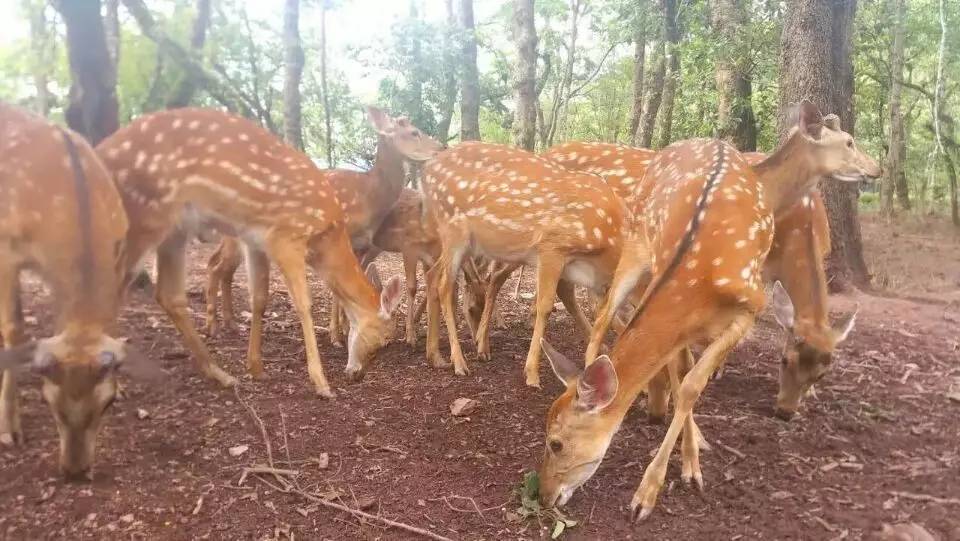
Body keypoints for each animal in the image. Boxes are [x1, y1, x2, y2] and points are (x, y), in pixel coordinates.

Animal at [0, 103, 160, 478]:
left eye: (107, 403)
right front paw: (9, 429)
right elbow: (14, 330)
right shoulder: (6, 248)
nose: (74, 471)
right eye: (48, 400)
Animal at [95, 108, 430, 396]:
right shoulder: (287, 239)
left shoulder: (261, 242)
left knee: (177, 288)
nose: (358, 375)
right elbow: (306, 303)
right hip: (145, 218)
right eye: (384, 340)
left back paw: (219, 359)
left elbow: (260, 298)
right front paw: (321, 379)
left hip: (182, 230)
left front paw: (255, 367)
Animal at [536, 101, 880, 520]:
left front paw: (661, 484)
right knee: (597, 313)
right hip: (634, 243)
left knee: (601, 319)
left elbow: (689, 384)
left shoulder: (750, 307)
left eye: (556, 442)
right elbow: (682, 372)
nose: (543, 495)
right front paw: (680, 459)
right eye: (849, 140)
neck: (702, 278)